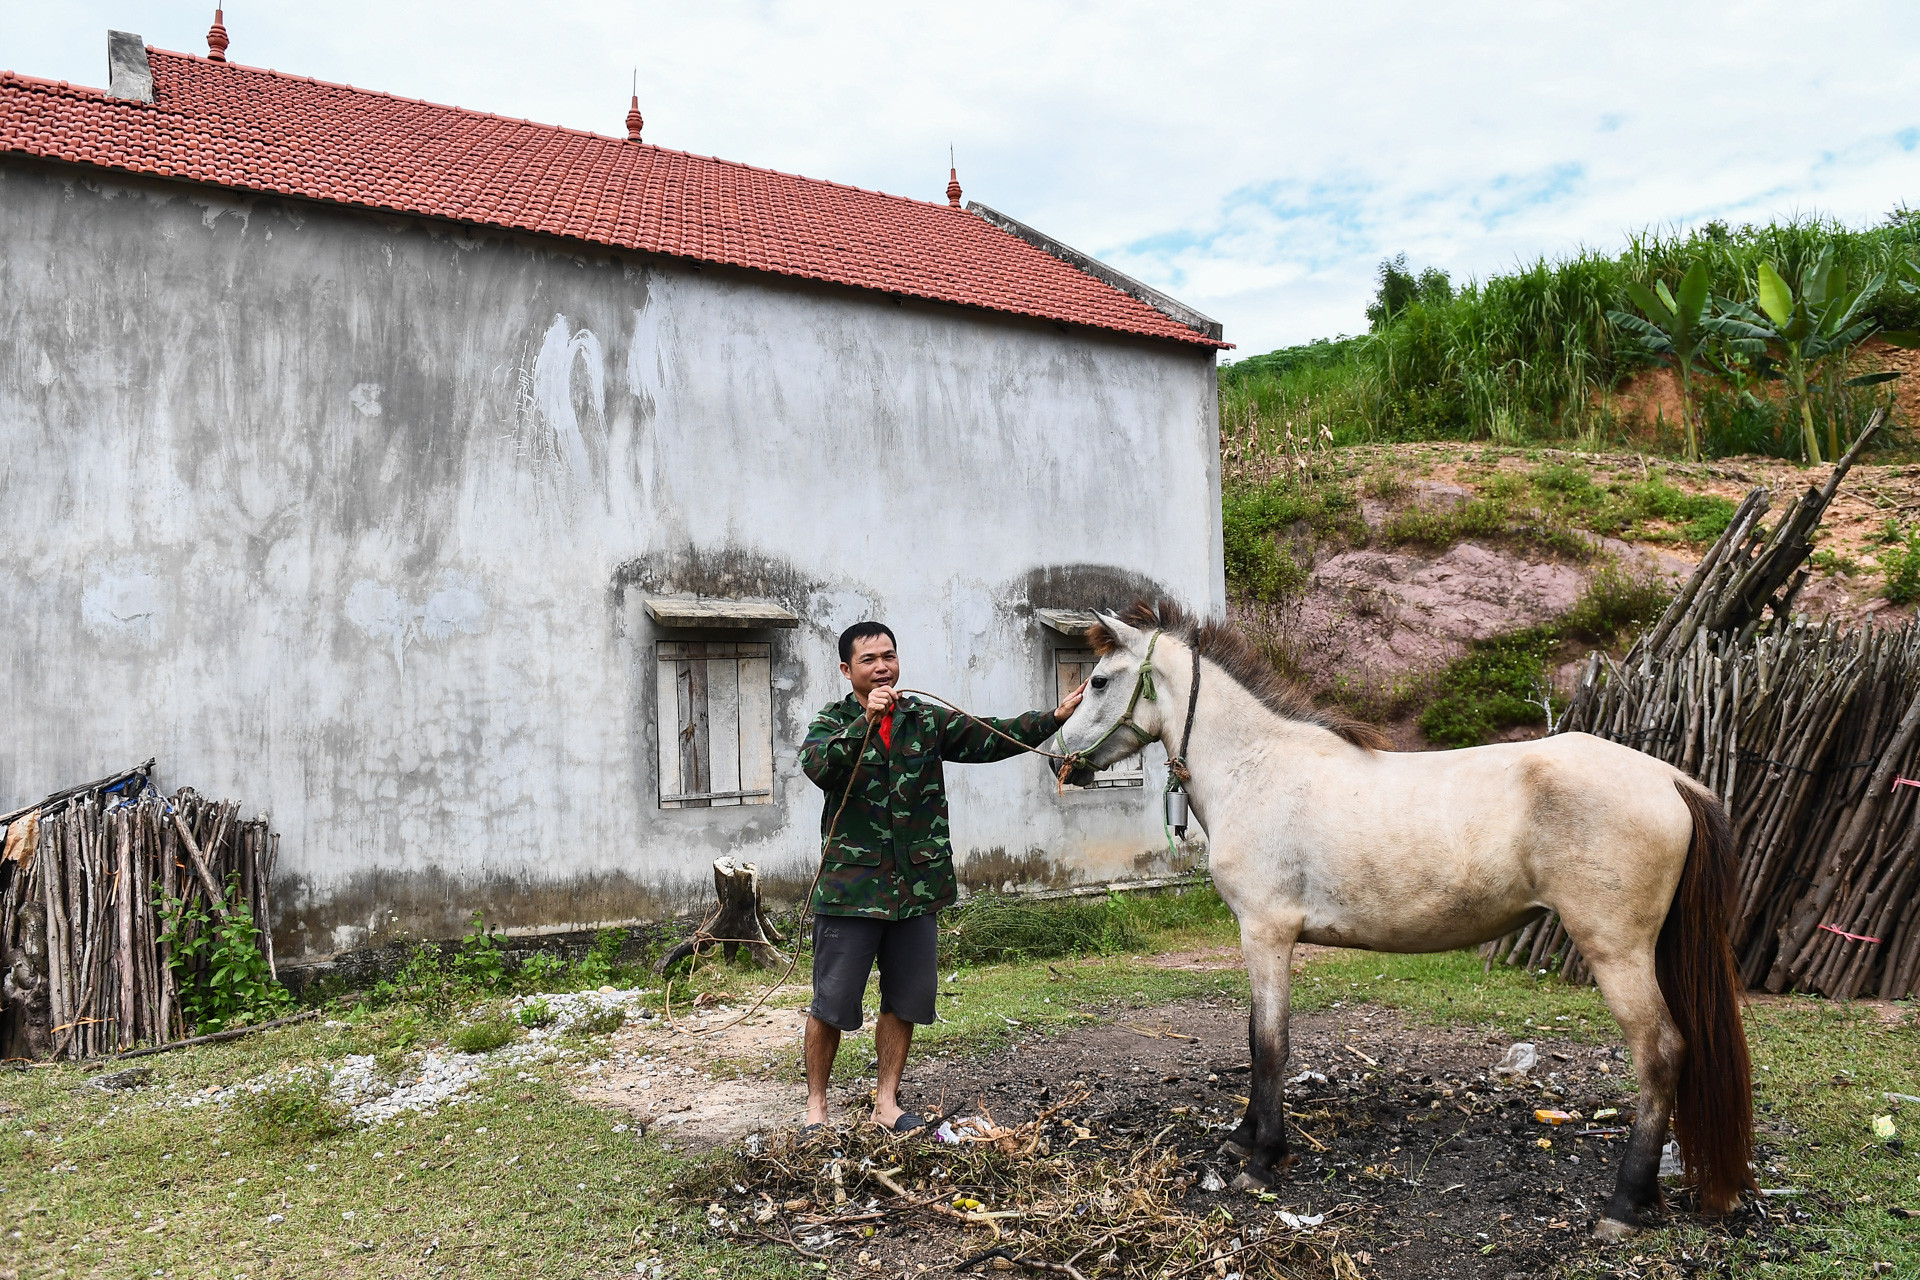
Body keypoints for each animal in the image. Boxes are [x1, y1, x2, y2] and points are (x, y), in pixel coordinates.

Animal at [1052, 602, 1758, 1243]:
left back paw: (1624, 1202)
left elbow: (1270, 1044)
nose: (1059, 759)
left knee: (1661, 1053)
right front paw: (1244, 1140)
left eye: (1099, 681)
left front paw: (1263, 1158)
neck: (1256, 768)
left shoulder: (1267, 934)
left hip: (1616, 951)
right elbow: (1257, 1040)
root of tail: (1670, 779)